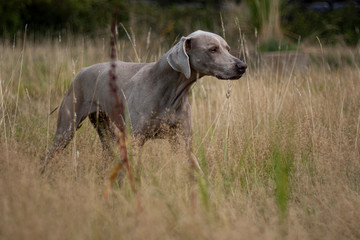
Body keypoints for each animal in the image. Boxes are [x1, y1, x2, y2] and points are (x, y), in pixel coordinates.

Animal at [40, 31, 248, 174]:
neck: (169, 91)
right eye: (213, 49)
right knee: (48, 155)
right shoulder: (135, 139)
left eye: (228, 49)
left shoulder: (183, 141)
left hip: (104, 128)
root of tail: (82, 70)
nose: (242, 66)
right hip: (66, 128)